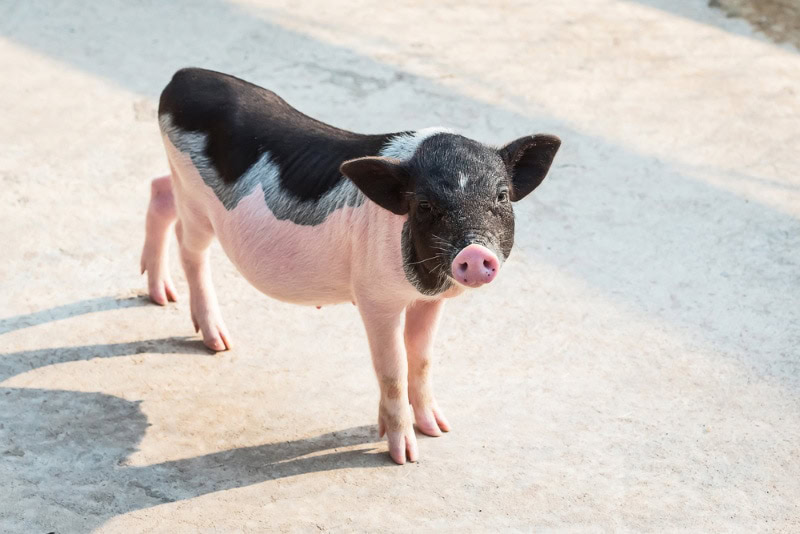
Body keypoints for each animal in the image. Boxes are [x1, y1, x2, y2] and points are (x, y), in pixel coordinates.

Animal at [141, 68, 560, 464]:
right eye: (424, 205)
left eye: (501, 196)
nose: (473, 253)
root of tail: (183, 77)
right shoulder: (375, 297)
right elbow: (393, 368)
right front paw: (404, 456)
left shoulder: (429, 300)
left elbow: (421, 358)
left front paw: (439, 430)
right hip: (195, 200)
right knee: (189, 247)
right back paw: (218, 342)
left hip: (179, 186)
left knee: (159, 190)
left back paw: (162, 297)